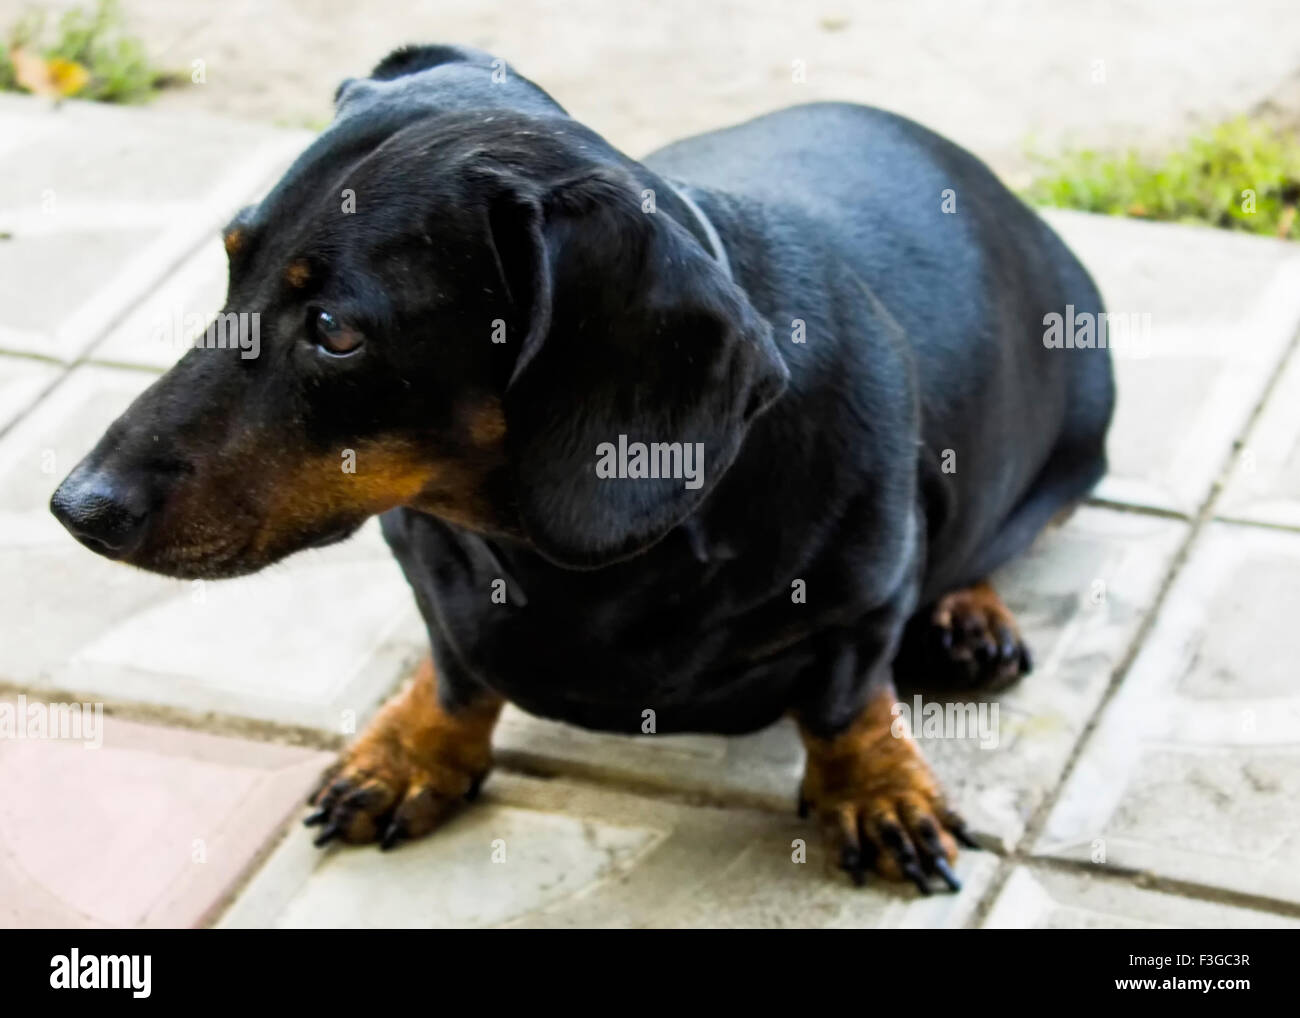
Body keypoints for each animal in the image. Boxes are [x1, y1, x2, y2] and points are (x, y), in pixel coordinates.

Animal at [48, 45, 1107, 894]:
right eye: (232, 262)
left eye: (335, 330)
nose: (75, 508)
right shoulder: (428, 563)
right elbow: (456, 666)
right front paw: (415, 749)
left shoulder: (867, 596)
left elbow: (848, 704)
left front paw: (879, 792)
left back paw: (969, 619)